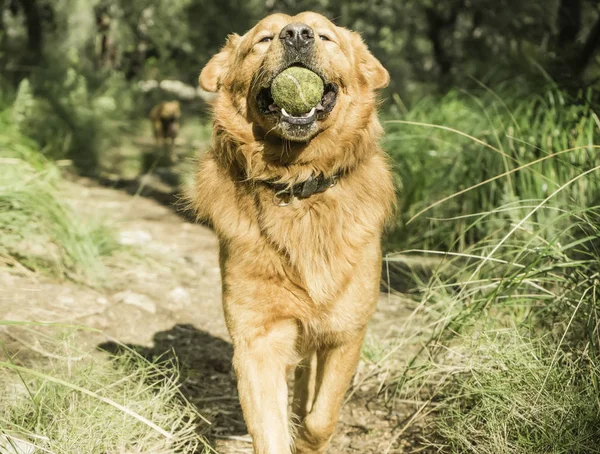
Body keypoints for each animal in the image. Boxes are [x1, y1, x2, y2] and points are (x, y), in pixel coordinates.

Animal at [192, 11, 396, 454]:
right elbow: (270, 427)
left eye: (324, 35)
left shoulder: (346, 332)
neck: (297, 182)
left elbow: (322, 418)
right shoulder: (258, 338)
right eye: (265, 38)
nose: (297, 35)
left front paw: (307, 437)